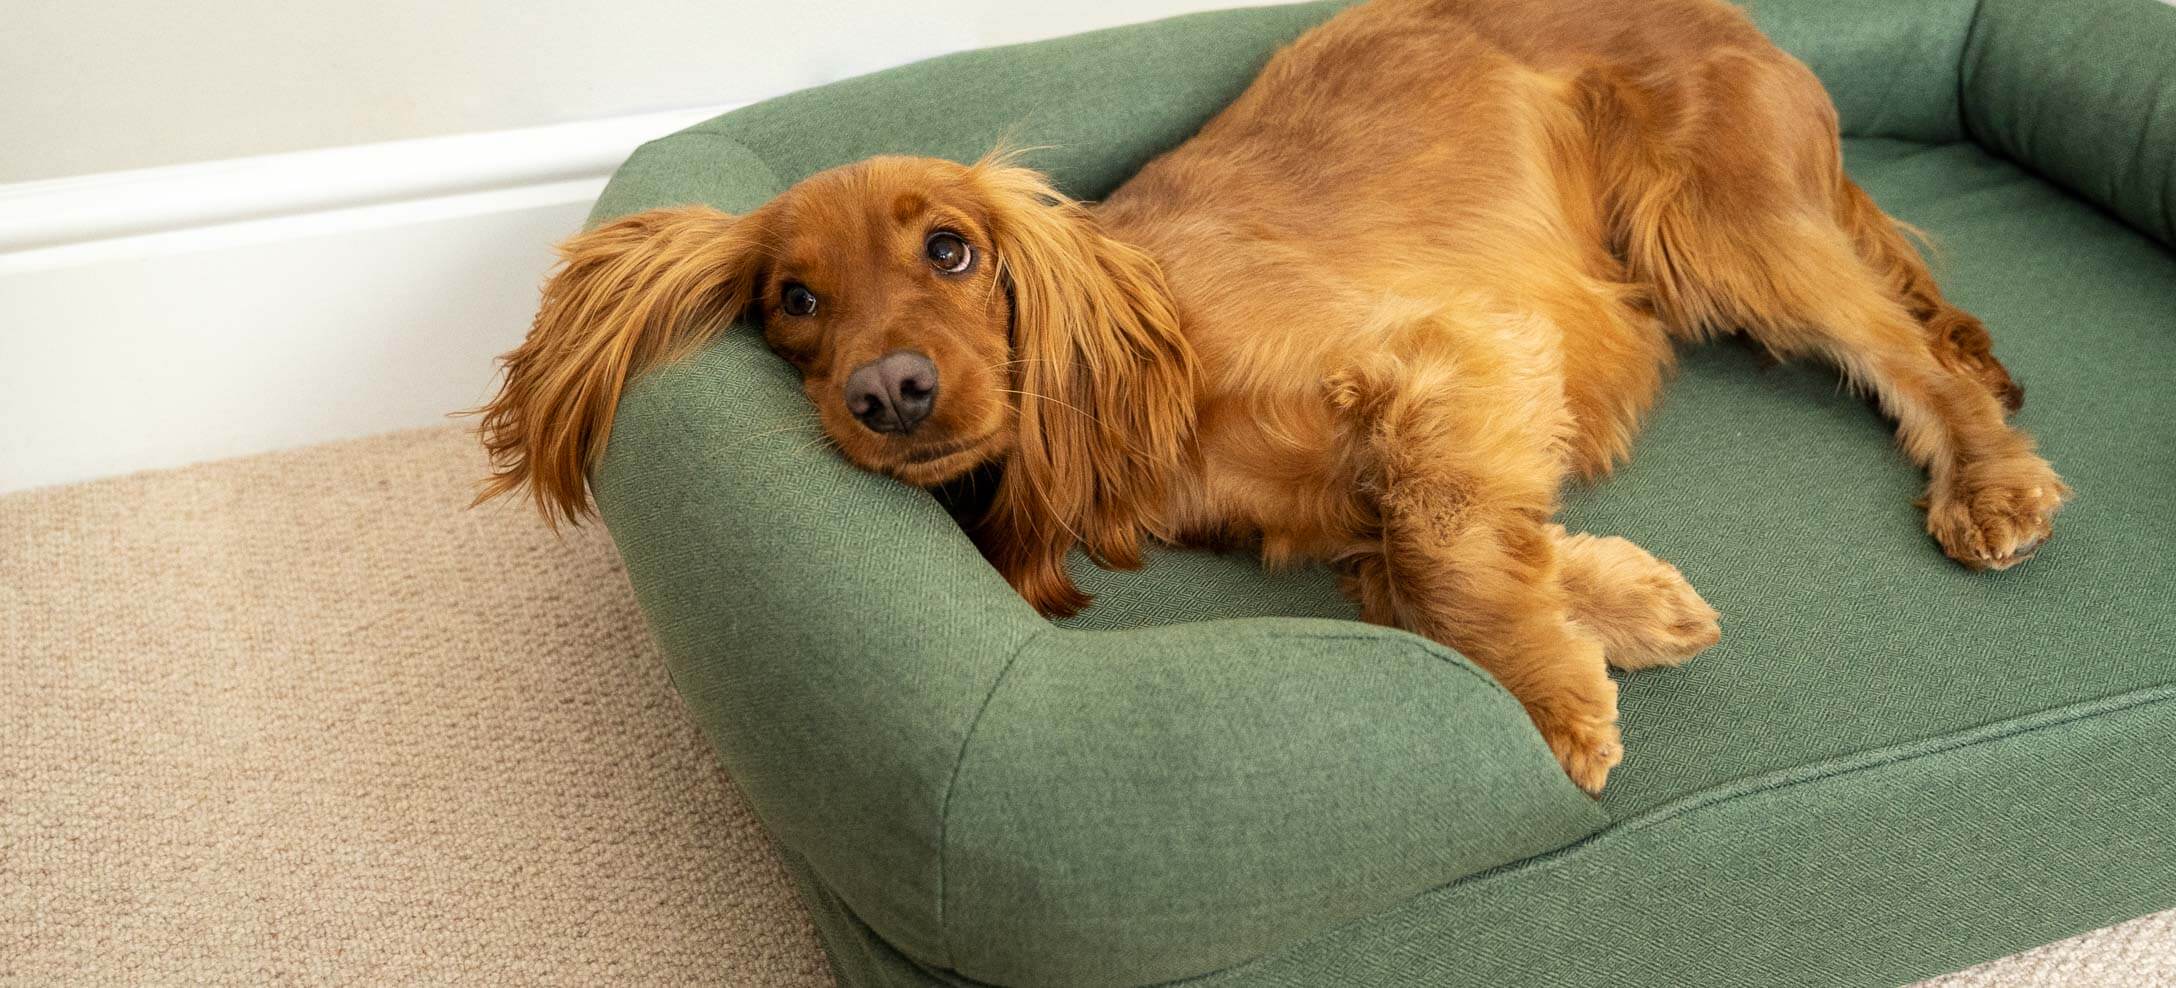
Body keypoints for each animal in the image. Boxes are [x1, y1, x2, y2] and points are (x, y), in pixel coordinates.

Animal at [480, 0, 2071, 792]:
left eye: (952, 250)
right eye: (793, 302)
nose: (888, 392)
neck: (1149, 399)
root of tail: (1736, 10)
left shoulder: (1458, 349)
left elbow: (1437, 538)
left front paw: (1558, 697)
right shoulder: (1358, 486)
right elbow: (1424, 558)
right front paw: (1619, 605)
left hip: (1721, 225)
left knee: (1916, 355)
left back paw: (1989, 481)